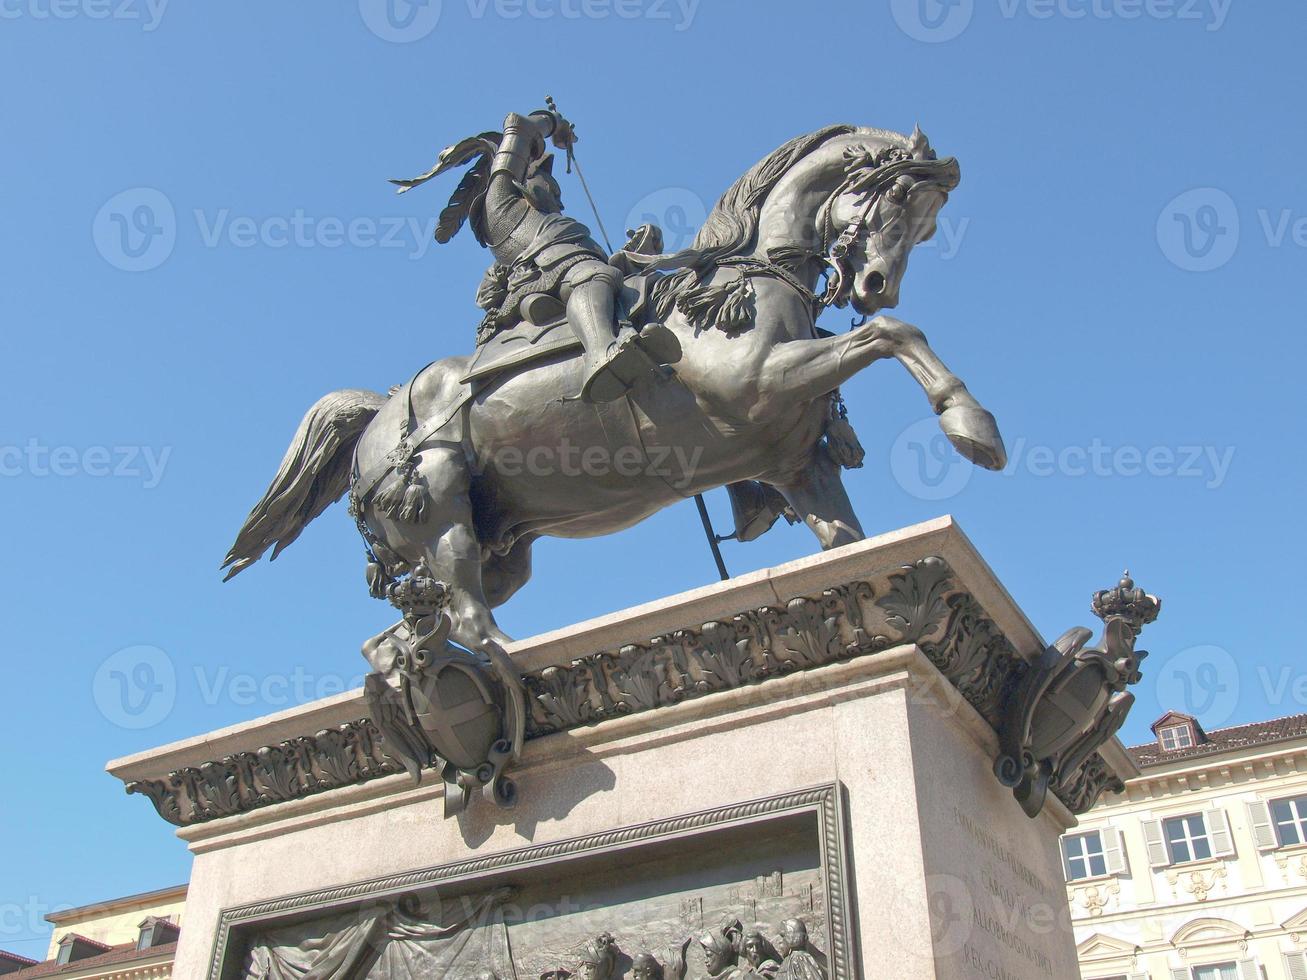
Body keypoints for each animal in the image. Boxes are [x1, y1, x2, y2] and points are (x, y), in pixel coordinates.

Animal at [224, 118, 1003, 663]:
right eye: (896, 199)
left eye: (930, 220)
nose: (874, 286)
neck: (742, 280)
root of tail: (378, 411)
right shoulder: (758, 385)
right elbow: (894, 335)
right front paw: (971, 426)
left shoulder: (795, 464)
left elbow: (844, 539)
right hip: (438, 504)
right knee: (469, 619)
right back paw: (511, 669)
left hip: (496, 547)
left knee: (403, 635)